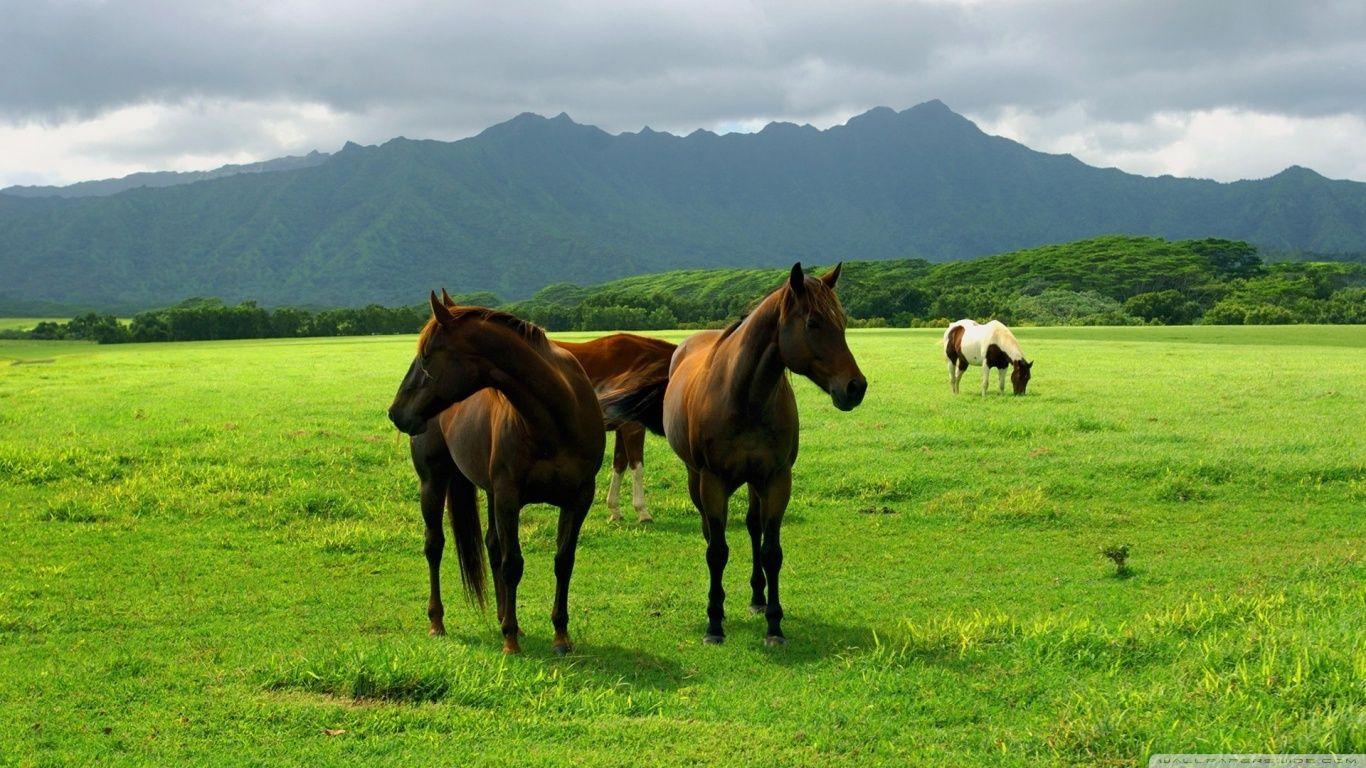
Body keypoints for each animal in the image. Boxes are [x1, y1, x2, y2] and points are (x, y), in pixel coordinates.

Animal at [387, 292, 605, 655]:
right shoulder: (508, 496)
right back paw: (438, 621)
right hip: (433, 482)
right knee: (435, 545)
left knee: (491, 544)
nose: (396, 413)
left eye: (427, 355)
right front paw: (511, 640)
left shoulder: (579, 498)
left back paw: (504, 615)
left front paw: (560, 635)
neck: (557, 417)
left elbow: (563, 561)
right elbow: (512, 563)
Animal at [553, 333, 676, 523]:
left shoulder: (621, 428)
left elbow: (619, 465)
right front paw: (642, 511)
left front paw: (615, 509)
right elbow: (636, 467)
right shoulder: (633, 427)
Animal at [605, 263, 866, 646]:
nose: (855, 387)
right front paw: (714, 623)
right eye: (813, 323)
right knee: (709, 533)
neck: (745, 398)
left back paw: (758, 597)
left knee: (754, 528)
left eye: (843, 321)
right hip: (696, 479)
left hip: (755, 483)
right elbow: (717, 551)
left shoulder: (776, 480)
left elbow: (771, 551)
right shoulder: (713, 482)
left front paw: (774, 624)